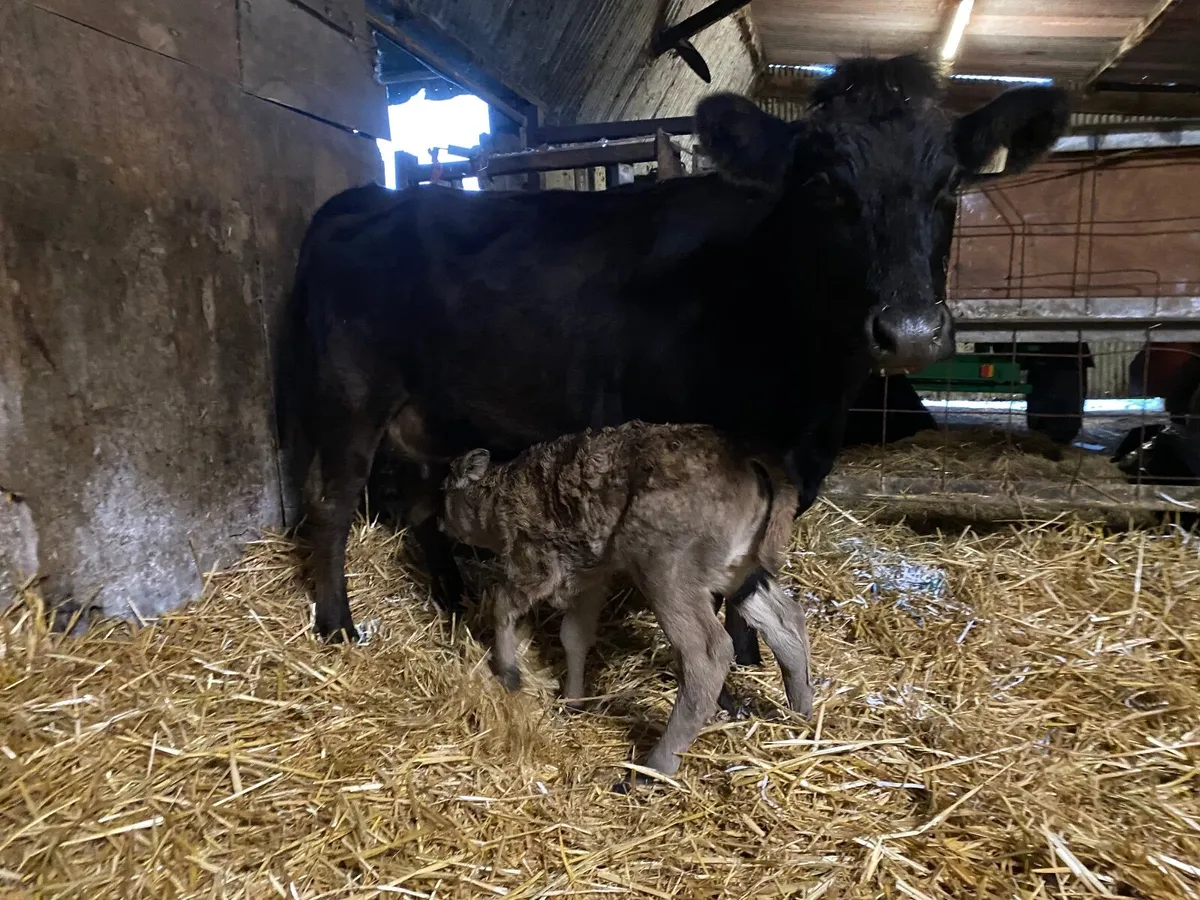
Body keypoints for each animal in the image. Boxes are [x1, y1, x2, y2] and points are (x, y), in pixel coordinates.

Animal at [275, 53, 1069, 649]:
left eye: (952, 185)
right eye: (824, 184)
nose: (908, 329)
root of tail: (368, 198)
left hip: (430, 410)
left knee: (422, 502)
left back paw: (447, 601)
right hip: (348, 396)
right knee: (333, 503)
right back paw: (338, 624)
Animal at [440, 420, 813, 782]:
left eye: (445, 491)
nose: (443, 527)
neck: (499, 498)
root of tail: (748, 456)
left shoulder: (535, 565)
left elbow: (502, 604)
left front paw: (508, 672)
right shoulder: (588, 578)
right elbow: (574, 636)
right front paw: (573, 699)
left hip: (667, 572)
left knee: (707, 654)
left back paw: (655, 767)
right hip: (739, 571)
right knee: (786, 619)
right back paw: (802, 713)